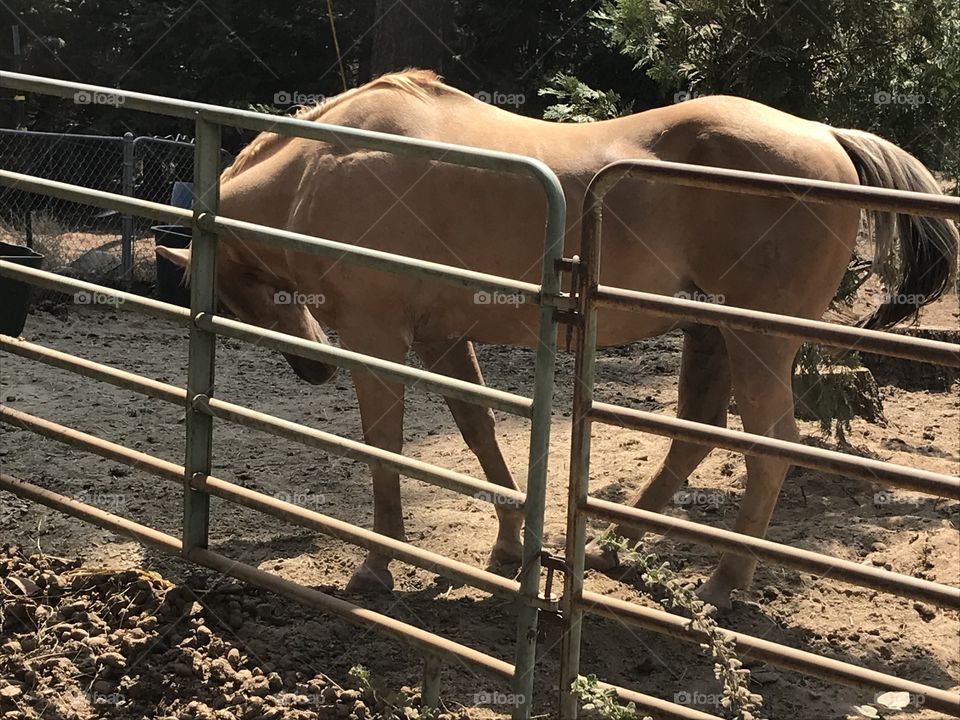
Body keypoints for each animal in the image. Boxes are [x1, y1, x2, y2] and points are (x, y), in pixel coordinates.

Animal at [161, 69, 956, 608]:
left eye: (239, 287)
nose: (311, 370)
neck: (328, 165)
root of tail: (827, 136)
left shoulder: (377, 338)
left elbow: (384, 445)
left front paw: (377, 563)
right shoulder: (444, 339)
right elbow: (478, 430)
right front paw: (511, 544)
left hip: (755, 339)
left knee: (769, 443)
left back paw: (724, 583)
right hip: (711, 333)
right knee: (695, 434)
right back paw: (608, 546)